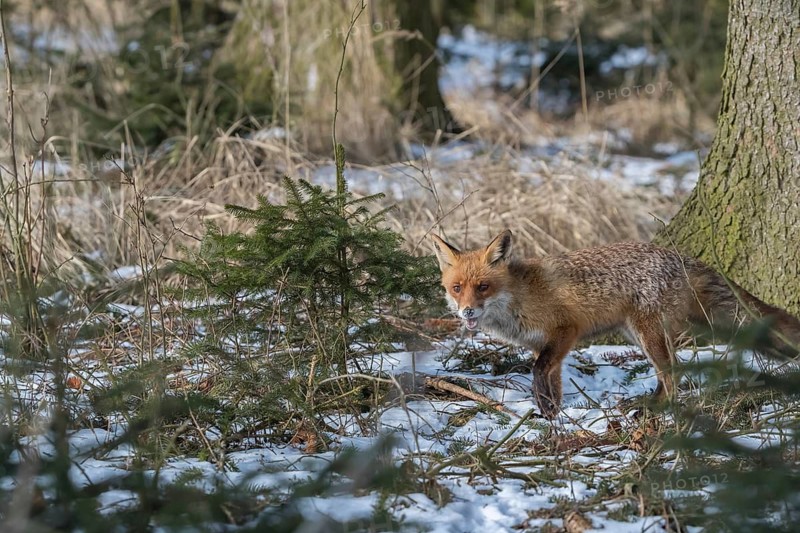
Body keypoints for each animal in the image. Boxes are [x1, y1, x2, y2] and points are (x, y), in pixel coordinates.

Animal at [430, 230, 800, 419]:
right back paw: (647, 405)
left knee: (673, 374)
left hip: (648, 333)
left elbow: (538, 372)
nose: (467, 313)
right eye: (457, 288)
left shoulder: (565, 331)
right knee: (669, 374)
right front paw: (553, 416)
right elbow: (552, 381)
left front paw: (547, 411)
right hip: (637, 334)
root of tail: (679, 256)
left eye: (483, 287)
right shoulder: (545, 345)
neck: (519, 296)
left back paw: (655, 411)